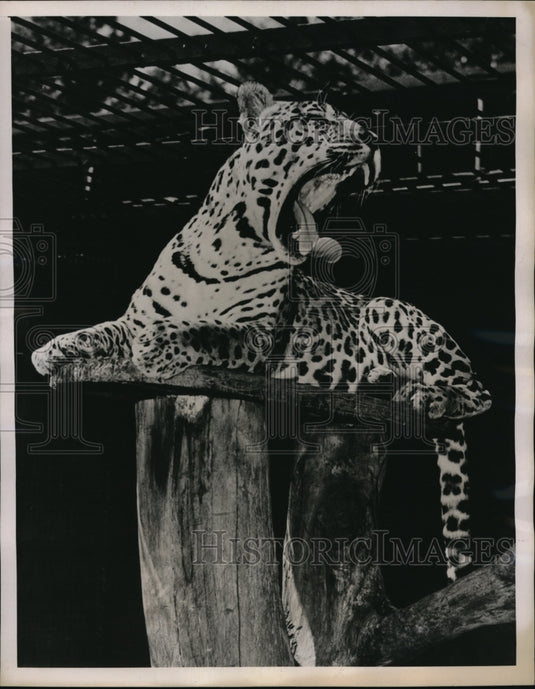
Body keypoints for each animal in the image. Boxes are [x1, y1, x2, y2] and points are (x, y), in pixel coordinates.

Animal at [32, 81, 492, 660]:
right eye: (317, 118)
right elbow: (109, 329)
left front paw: (160, 347)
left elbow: (203, 332)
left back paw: (423, 395)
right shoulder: (136, 316)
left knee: (476, 391)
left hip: (392, 311)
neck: (226, 249)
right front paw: (55, 348)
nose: (369, 136)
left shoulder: (256, 339)